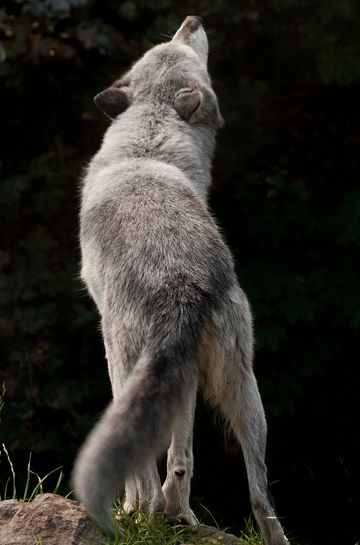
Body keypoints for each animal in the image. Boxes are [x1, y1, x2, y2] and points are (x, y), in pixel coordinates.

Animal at [71, 14, 288, 540]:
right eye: (161, 47)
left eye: (185, 48)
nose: (192, 19)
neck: (149, 145)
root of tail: (182, 283)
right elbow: (183, 449)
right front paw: (179, 513)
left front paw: (140, 512)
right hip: (245, 389)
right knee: (251, 491)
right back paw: (186, 517)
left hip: (127, 364)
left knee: (148, 475)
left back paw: (138, 516)